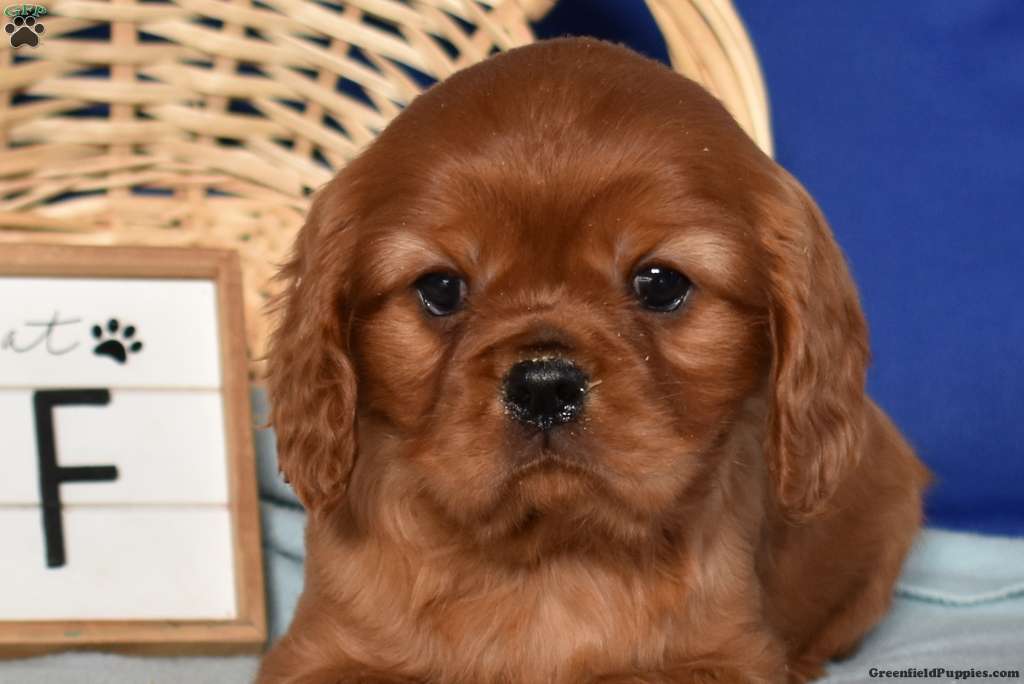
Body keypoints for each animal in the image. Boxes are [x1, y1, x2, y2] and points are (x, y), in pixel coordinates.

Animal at [258, 37, 930, 684]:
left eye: (660, 283)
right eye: (441, 288)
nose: (544, 386)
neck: (548, 555)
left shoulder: (724, 658)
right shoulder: (317, 656)